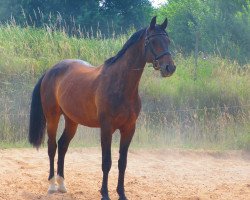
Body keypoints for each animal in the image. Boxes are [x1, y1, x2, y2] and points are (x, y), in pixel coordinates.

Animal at [28, 16, 176, 199]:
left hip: (72, 121)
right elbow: (106, 162)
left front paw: (122, 193)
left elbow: (122, 162)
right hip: (52, 117)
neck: (121, 85)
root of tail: (50, 70)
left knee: (62, 146)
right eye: (153, 41)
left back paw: (62, 185)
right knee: (52, 147)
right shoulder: (106, 128)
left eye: (168, 41)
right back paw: (52, 186)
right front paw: (105, 193)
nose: (170, 67)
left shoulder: (129, 128)